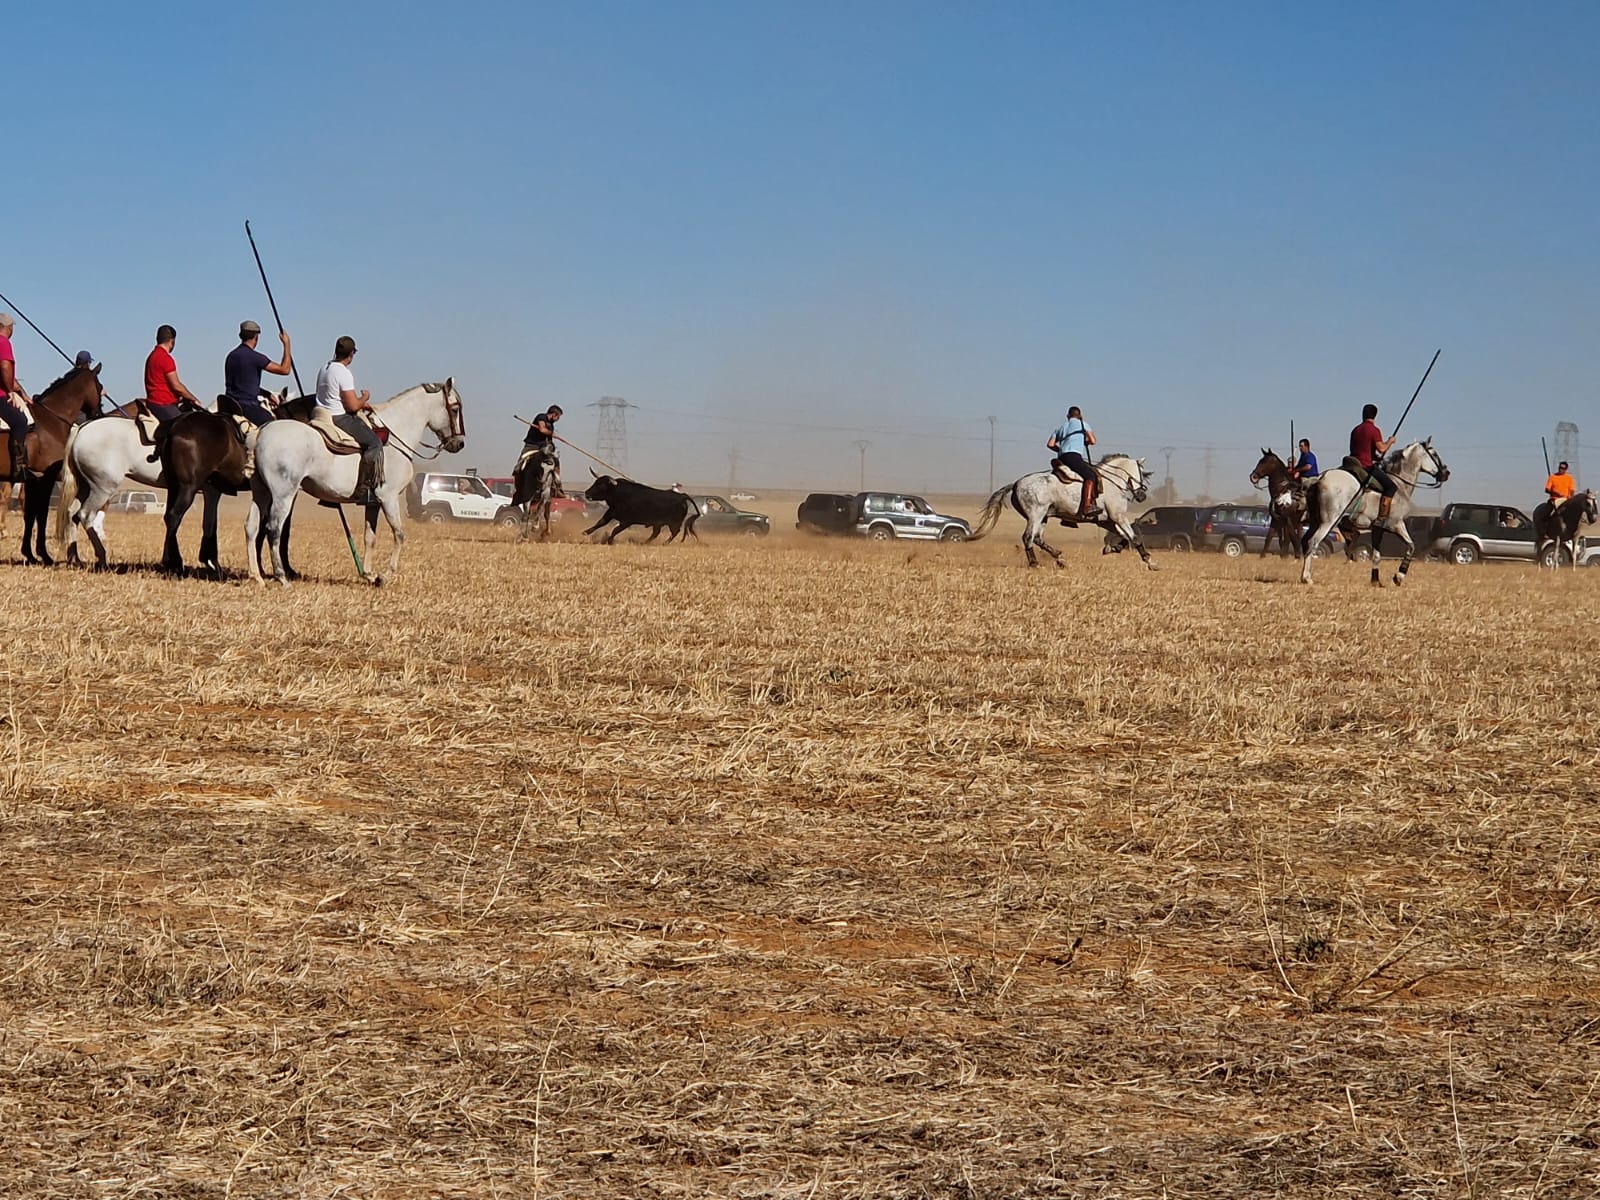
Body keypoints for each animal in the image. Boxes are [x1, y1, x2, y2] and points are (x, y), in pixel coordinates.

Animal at [0, 366, 103, 563]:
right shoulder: (45, 479)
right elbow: (41, 514)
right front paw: (43, 554)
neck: (51, 420)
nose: (98, 414)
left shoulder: (33, 481)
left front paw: (30, 554)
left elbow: (30, 515)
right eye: (100, 387)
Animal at [246, 377, 467, 588]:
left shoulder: (373, 503)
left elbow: (370, 537)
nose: (459, 443)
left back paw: (257, 577)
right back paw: (281, 578)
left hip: (261, 493)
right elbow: (399, 534)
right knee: (273, 529)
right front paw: (385, 577)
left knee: (252, 527)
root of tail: (261, 431)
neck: (395, 437)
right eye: (455, 409)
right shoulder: (389, 498)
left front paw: (368, 575)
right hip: (283, 495)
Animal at [966, 454, 1158, 569]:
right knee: (1028, 537)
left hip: (1044, 517)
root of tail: (1015, 484)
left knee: (1037, 538)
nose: (1142, 495)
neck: (1112, 482)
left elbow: (1125, 537)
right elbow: (1134, 537)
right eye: (1142, 473)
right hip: (1036, 514)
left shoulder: (1107, 520)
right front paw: (1150, 561)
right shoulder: (1118, 517)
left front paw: (1112, 548)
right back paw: (1035, 563)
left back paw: (1059, 557)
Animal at [1299, 441, 1452, 592]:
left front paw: (1375, 581)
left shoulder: (1377, 528)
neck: (1400, 485)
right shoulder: (1396, 524)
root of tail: (1320, 478)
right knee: (1313, 542)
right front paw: (1398, 577)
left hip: (1315, 521)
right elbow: (1411, 546)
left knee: (1305, 541)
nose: (1446, 473)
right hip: (1328, 522)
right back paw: (1307, 578)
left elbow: (1377, 556)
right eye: (1434, 454)